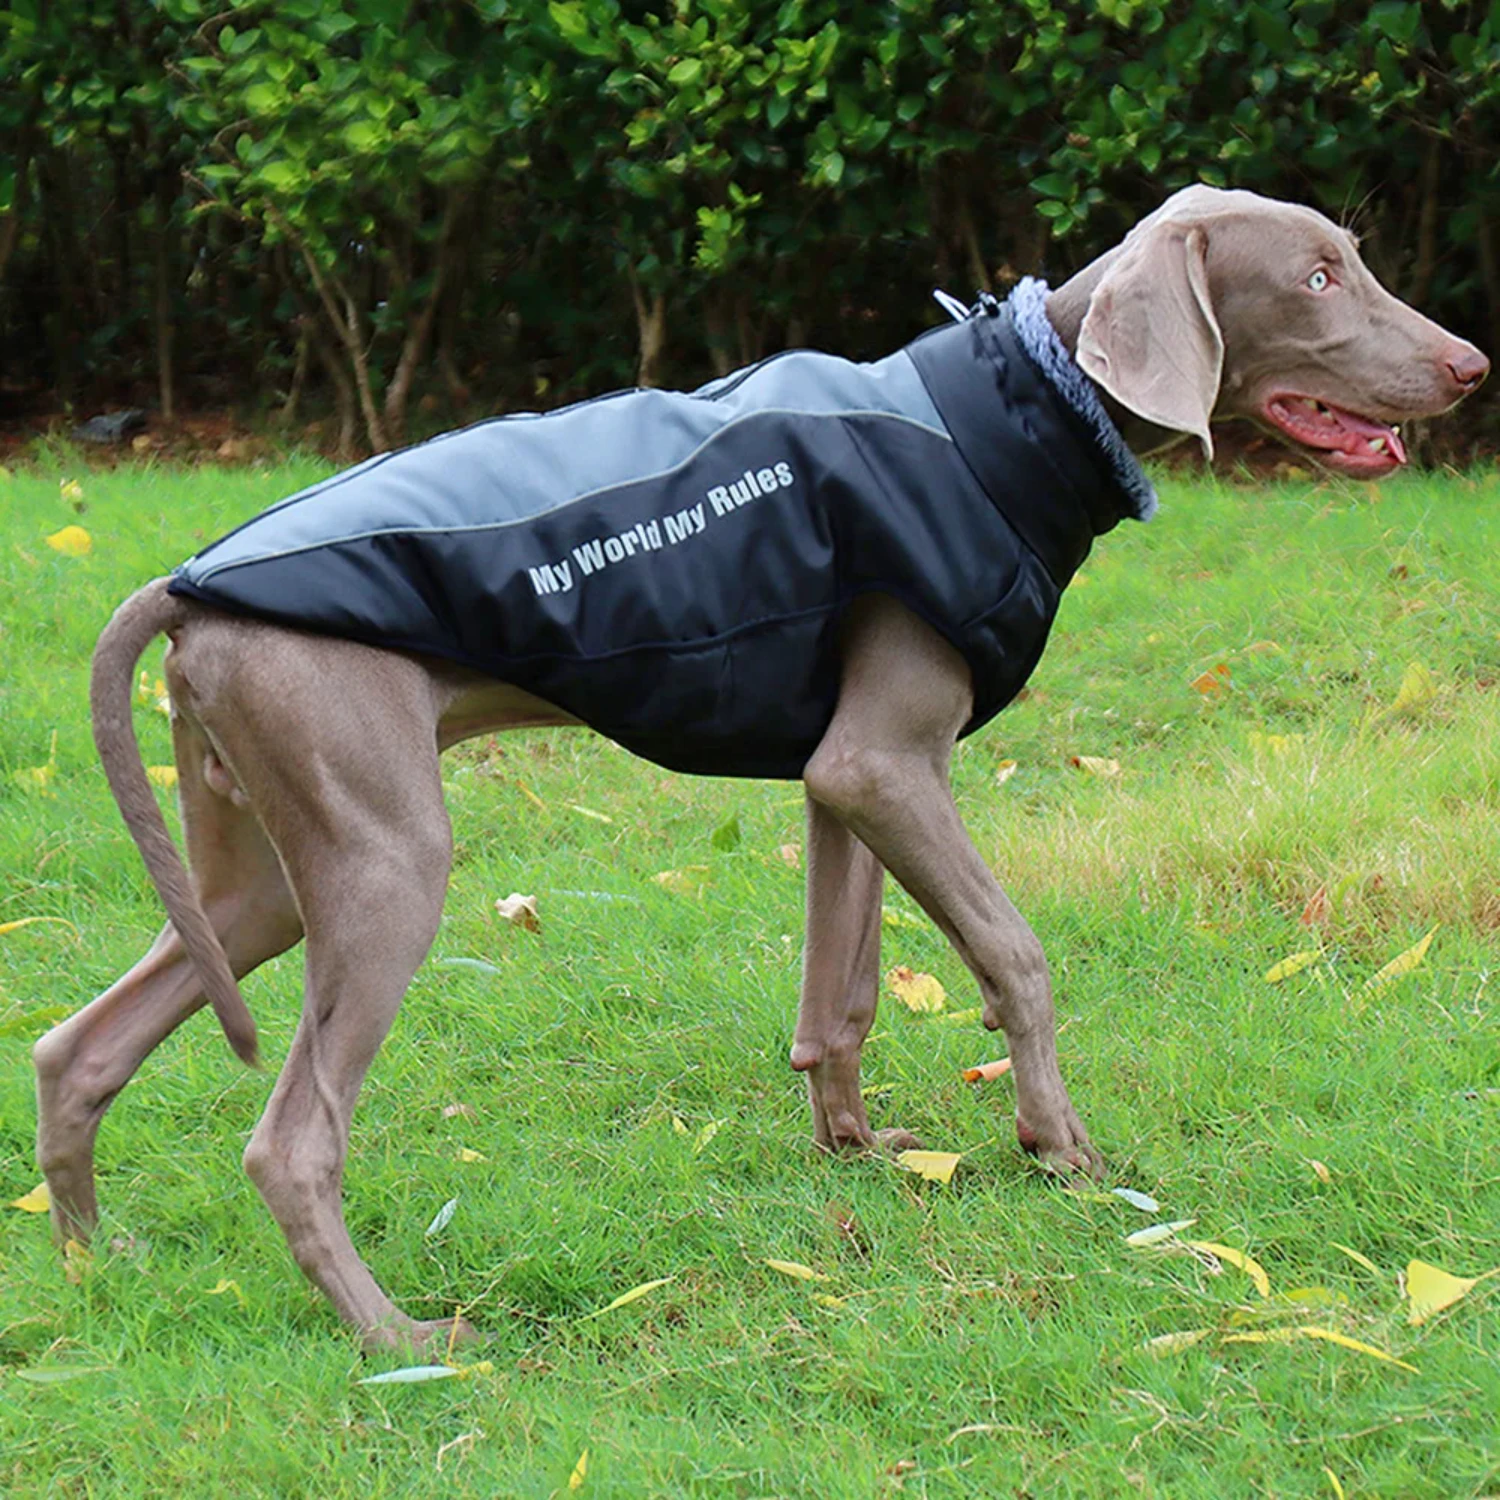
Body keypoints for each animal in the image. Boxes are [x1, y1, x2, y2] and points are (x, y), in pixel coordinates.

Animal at [35, 184, 1488, 1350]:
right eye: (1316, 279)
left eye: (1353, 259)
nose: (1472, 365)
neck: (1014, 411)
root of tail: (188, 590)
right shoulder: (885, 762)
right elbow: (1015, 955)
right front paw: (1061, 1148)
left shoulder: (843, 777)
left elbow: (839, 989)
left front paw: (855, 1148)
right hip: (387, 859)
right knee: (290, 1142)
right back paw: (399, 1336)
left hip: (262, 868)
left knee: (74, 1046)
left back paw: (99, 1271)